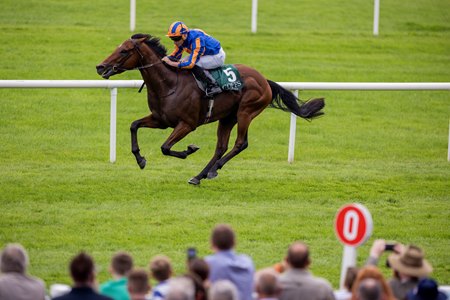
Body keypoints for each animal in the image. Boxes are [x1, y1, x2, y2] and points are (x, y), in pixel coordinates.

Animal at [96, 35, 326, 185]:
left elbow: (165, 147)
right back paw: (199, 176)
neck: (169, 84)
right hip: (227, 117)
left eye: (124, 51)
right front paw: (140, 159)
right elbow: (134, 125)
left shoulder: (187, 124)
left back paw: (214, 170)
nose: (100, 67)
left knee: (240, 143)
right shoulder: (160, 120)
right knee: (220, 147)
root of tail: (264, 80)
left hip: (245, 112)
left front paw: (188, 150)